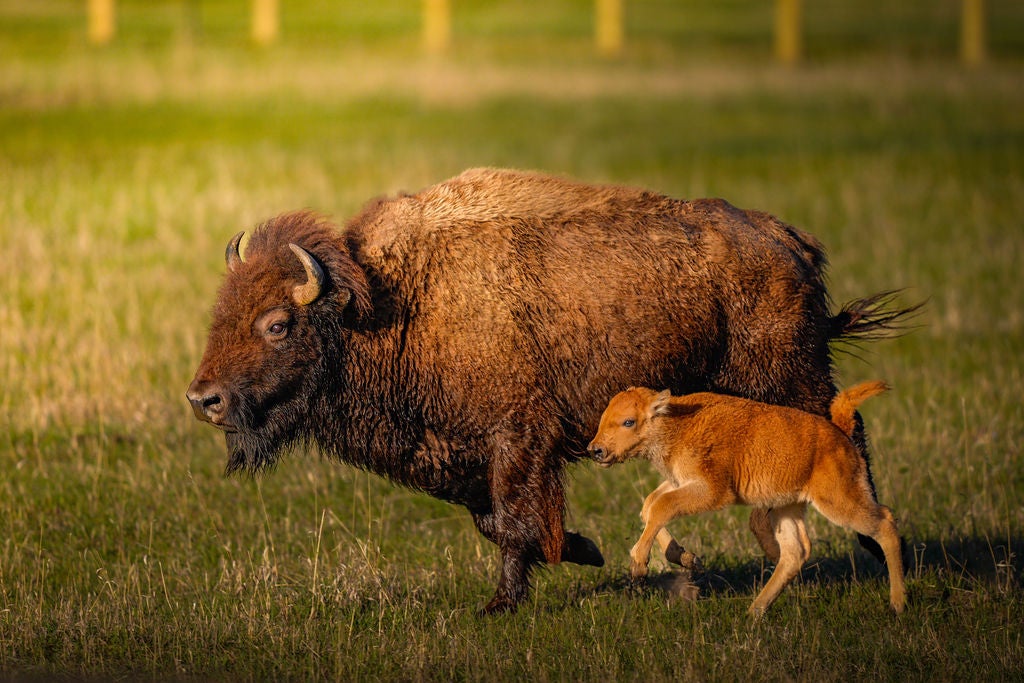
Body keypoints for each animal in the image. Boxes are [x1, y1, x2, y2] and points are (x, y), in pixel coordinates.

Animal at [186, 168, 916, 614]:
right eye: (219, 311)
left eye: (277, 324)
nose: (204, 399)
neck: (390, 303)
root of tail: (788, 239)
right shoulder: (461, 454)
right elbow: (493, 519)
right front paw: (588, 551)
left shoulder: (517, 439)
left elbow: (512, 520)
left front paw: (503, 601)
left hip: (788, 377)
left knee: (845, 435)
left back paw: (876, 550)